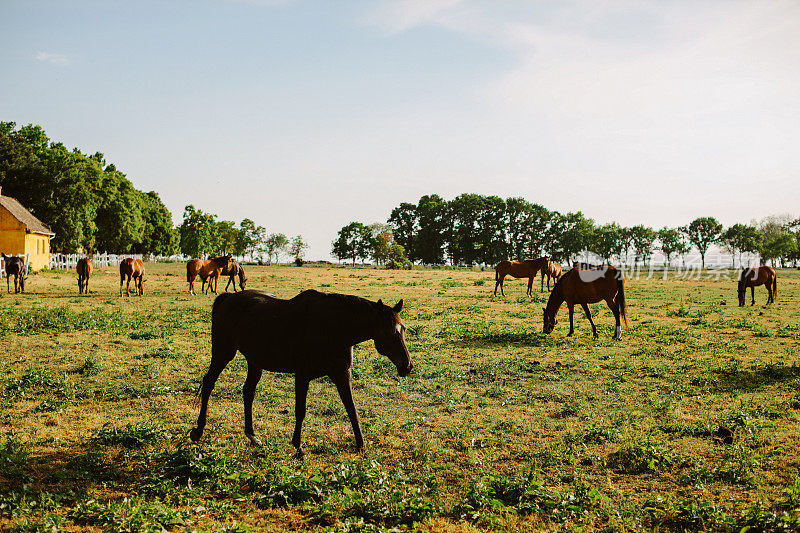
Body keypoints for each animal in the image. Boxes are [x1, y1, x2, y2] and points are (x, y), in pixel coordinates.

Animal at [188, 288, 412, 456]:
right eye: (390, 333)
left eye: (404, 330)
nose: (407, 366)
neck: (333, 328)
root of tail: (228, 298)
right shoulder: (302, 375)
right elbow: (300, 410)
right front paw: (298, 446)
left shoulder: (342, 374)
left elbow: (351, 409)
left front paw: (360, 444)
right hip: (223, 353)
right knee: (209, 383)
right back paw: (198, 430)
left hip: (255, 362)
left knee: (248, 392)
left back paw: (252, 436)